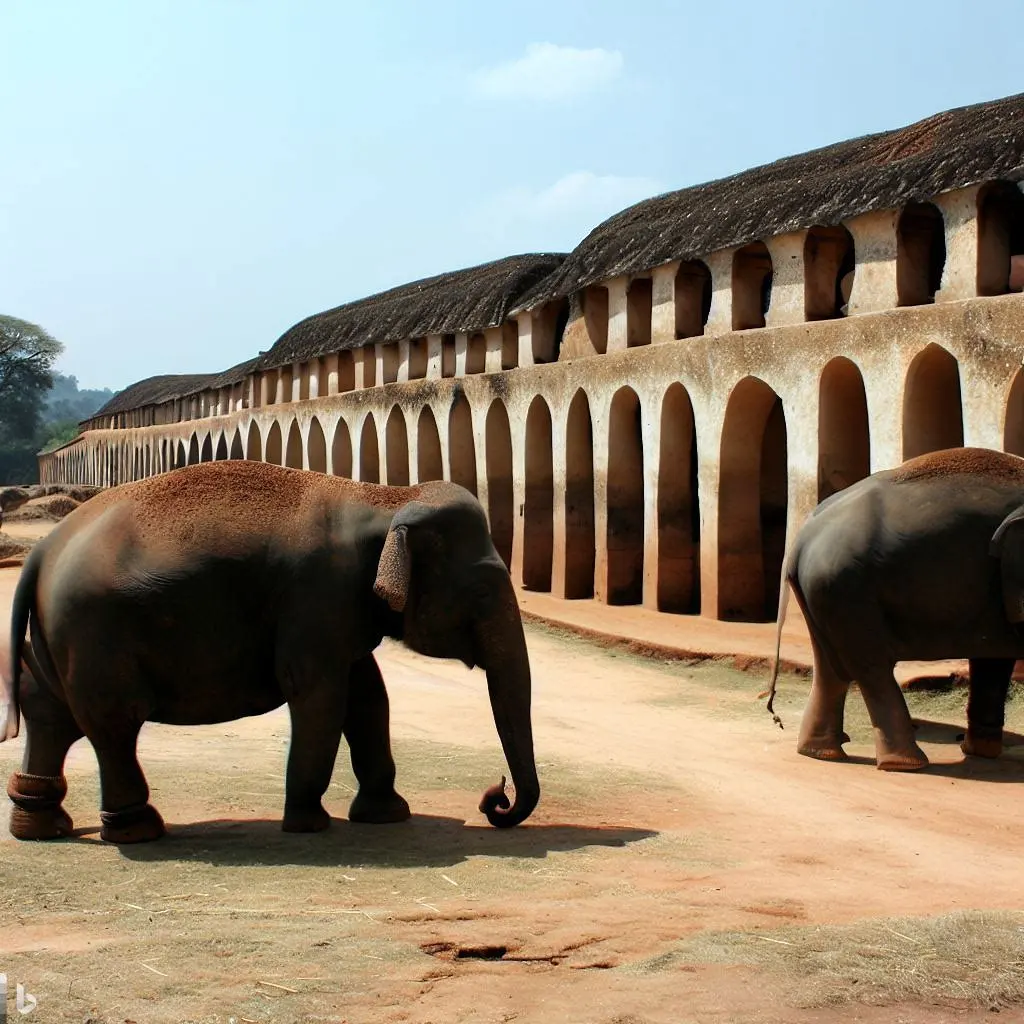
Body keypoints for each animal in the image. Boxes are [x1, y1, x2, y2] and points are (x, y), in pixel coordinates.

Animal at [4, 460, 540, 843]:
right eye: (484, 592)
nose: (495, 797)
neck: (388, 497)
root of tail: (41, 552)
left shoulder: (340, 610)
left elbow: (369, 697)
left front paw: (387, 816)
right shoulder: (317, 594)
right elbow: (319, 696)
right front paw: (307, 823)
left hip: (60, 636)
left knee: (49, 709)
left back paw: (40, 825)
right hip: (93, 631)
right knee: (115, 721)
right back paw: (138, 829)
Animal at [765, 448, 1024, 770]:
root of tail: (801, 538)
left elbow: (993, 659)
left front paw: (979, 751)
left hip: (823, 592)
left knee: (831, 668)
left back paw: (822, 752)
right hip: (847, 592)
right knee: (871, 667)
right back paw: (906, 764)